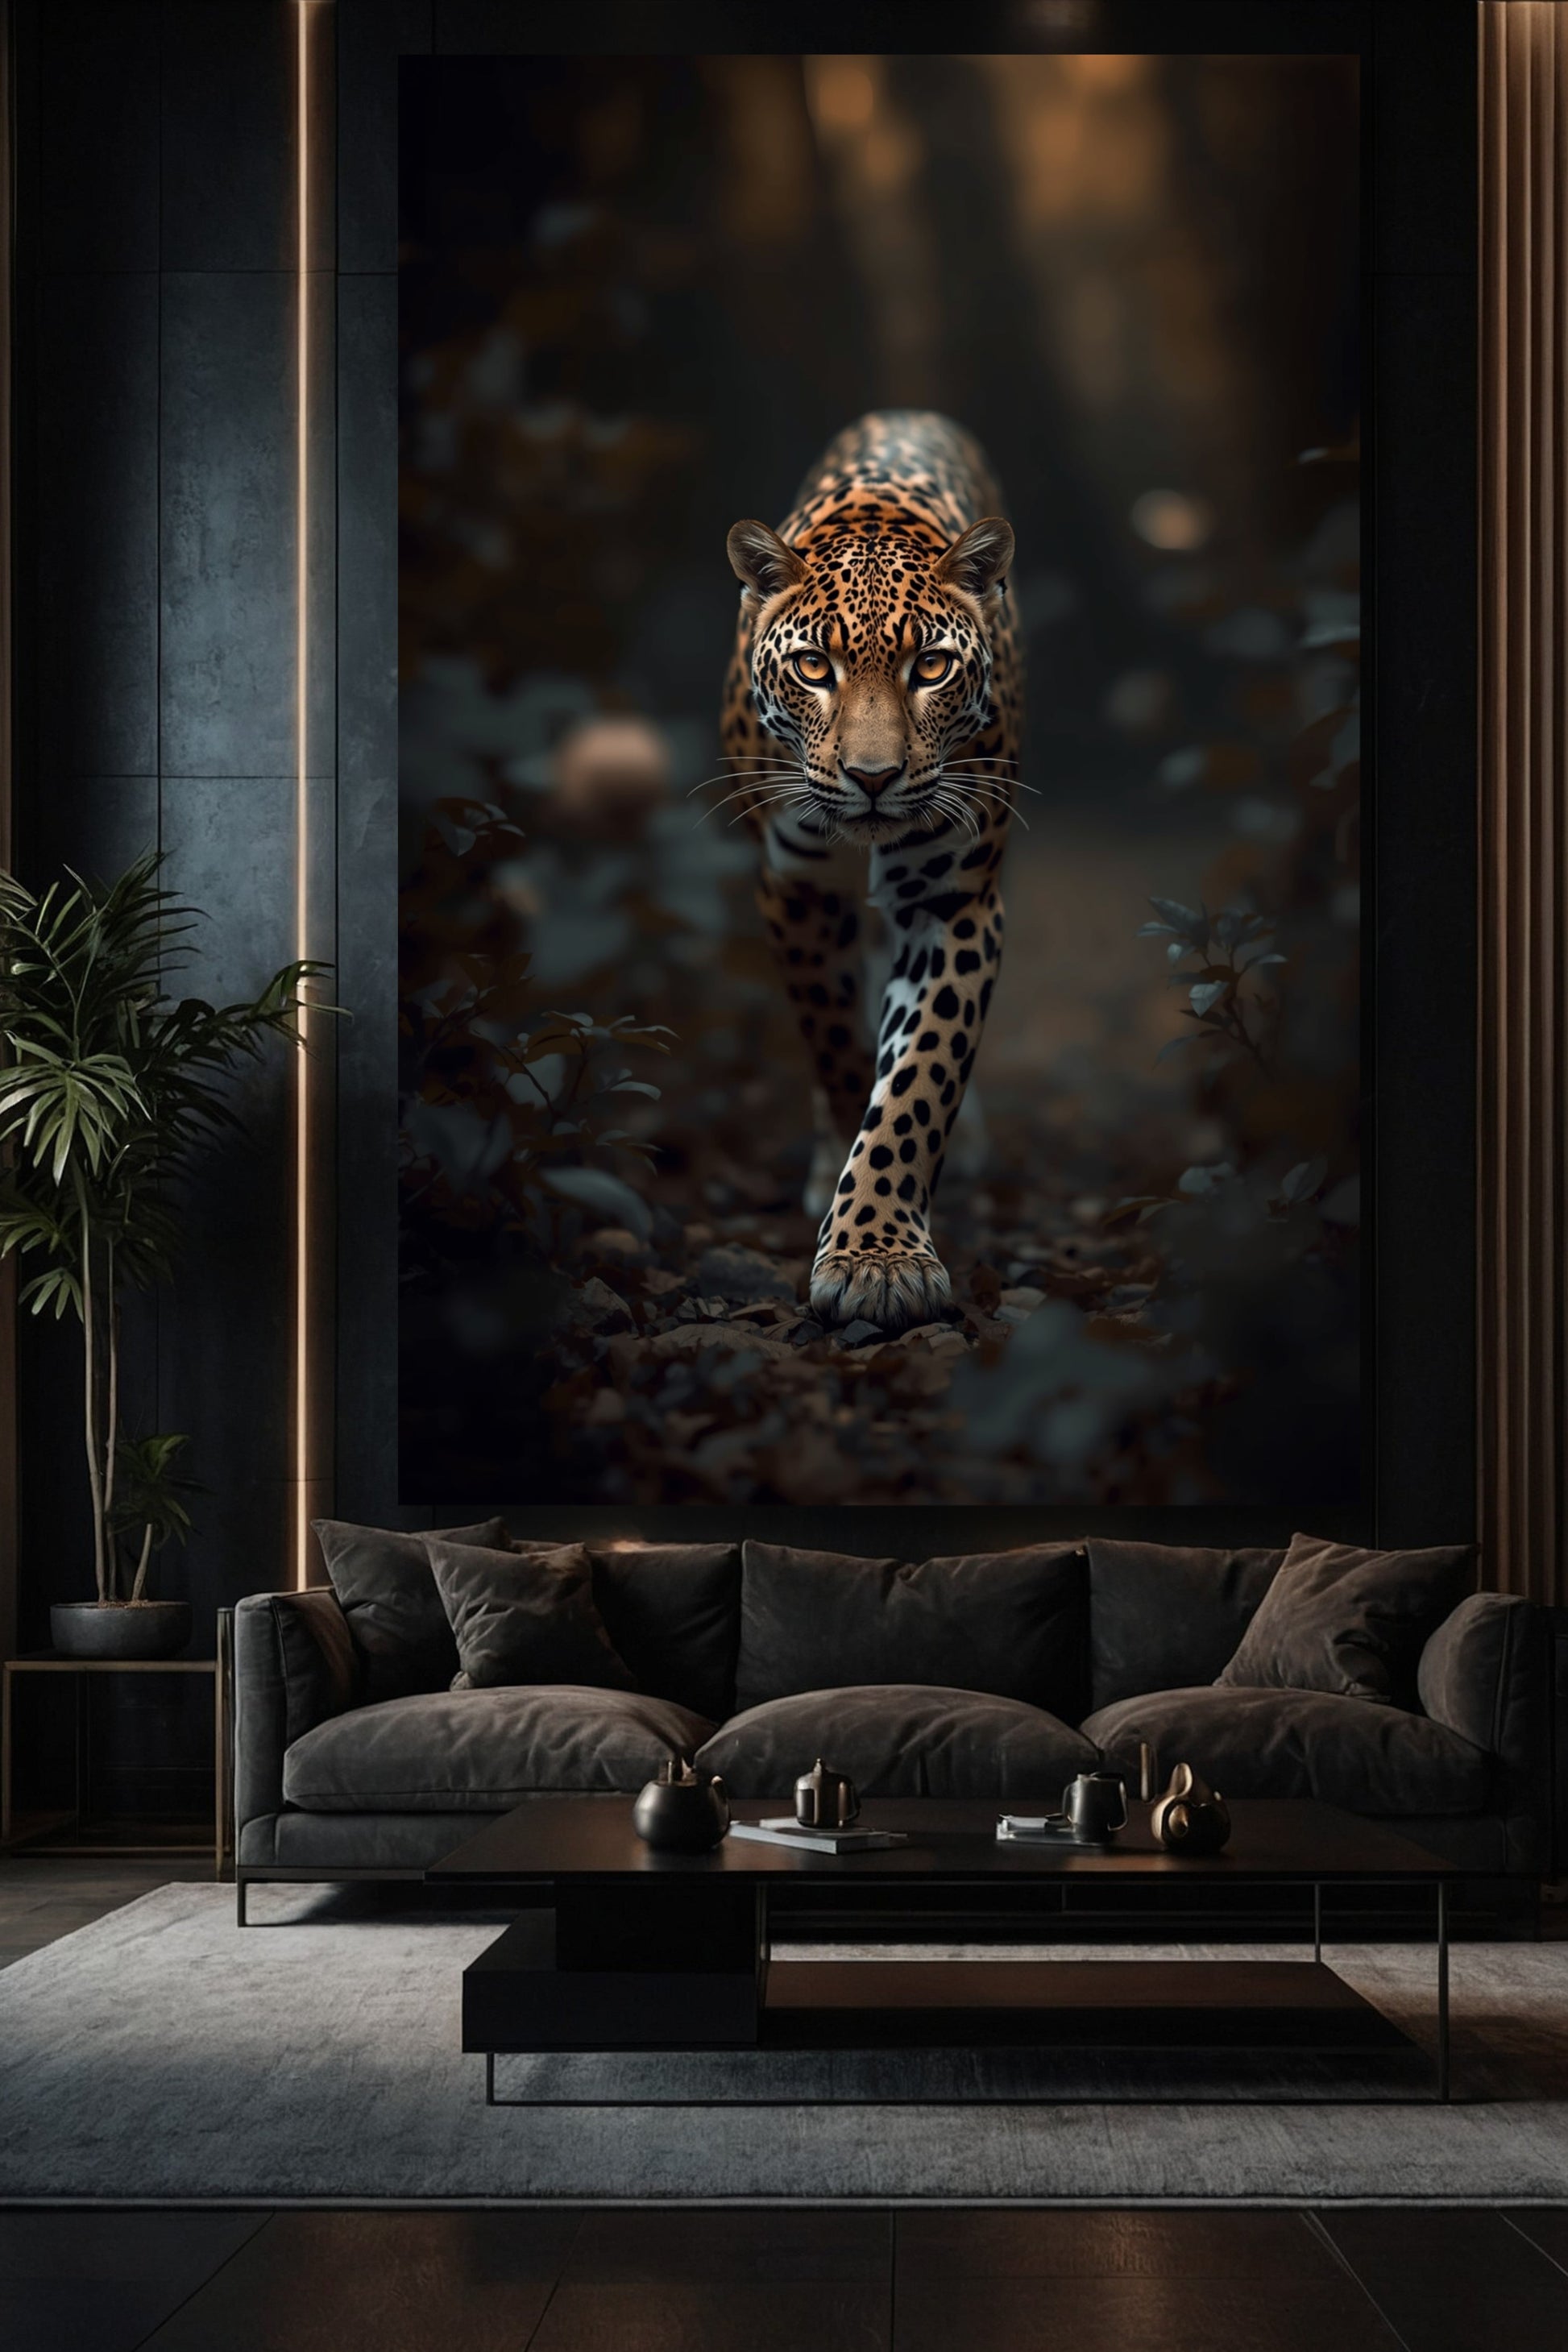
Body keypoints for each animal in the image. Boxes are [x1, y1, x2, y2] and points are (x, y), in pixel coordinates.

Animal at [719, 409, 1021, 1335]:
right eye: (815, 667)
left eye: (932, 667)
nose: (874, 776)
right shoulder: (798, 888)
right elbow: (840, 1048)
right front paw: (857, 1223)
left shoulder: (954, 900)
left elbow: (919, 1074)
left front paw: (877, 1256)